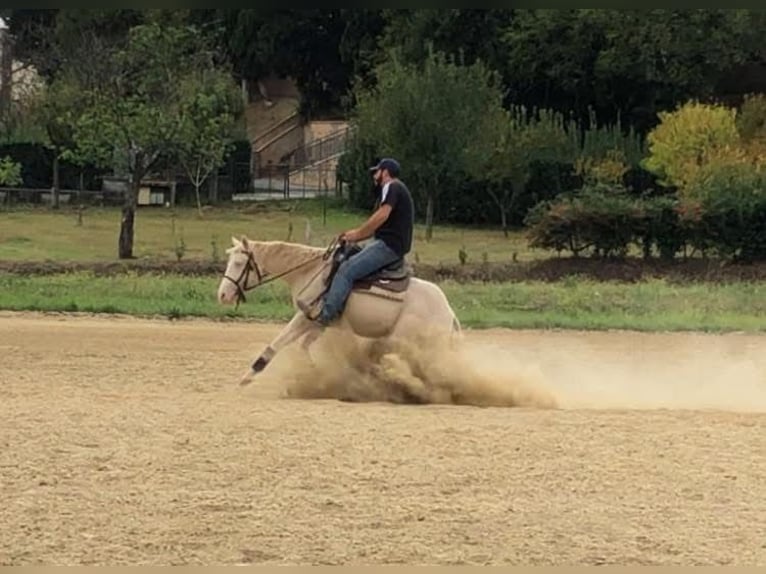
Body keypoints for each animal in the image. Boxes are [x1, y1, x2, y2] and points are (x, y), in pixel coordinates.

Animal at [217, 235, 462, 386]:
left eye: (239, 263)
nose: (222, 295)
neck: (312, 271)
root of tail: (449, 312)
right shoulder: (319, 323)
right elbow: (303, 347)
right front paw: (314, 373)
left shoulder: (305, 317)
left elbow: (277, 344)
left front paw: (247, 378)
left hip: (406, 339)